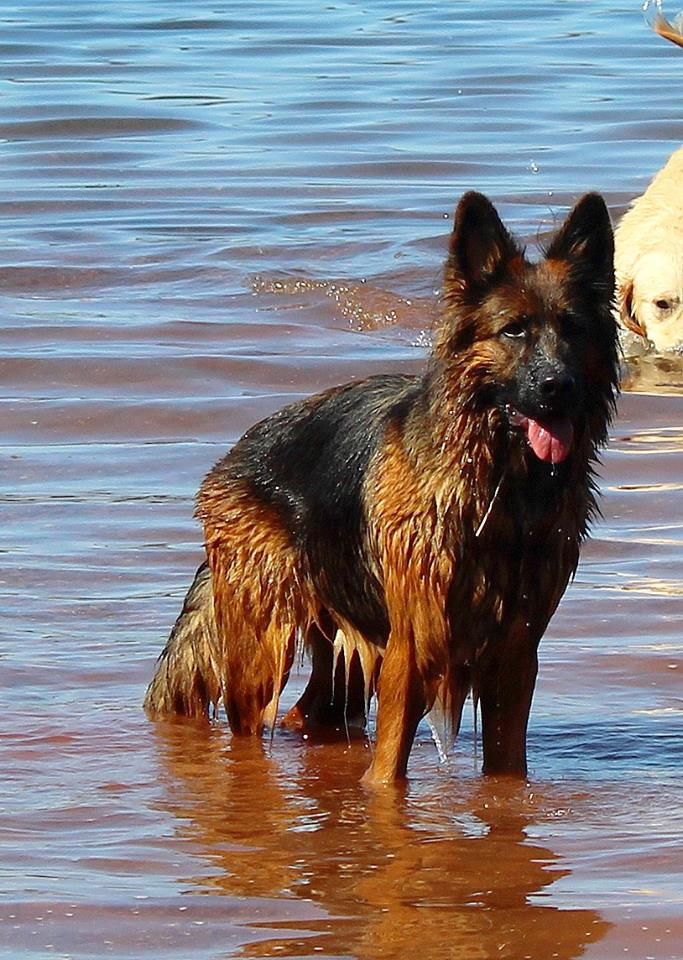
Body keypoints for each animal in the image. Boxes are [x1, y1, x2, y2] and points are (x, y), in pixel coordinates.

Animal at [144, 191, 620, 784]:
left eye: (573, 329)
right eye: (513, 330)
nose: (559, 387)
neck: (497, 490)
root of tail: (233, 454)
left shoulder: (515, 656)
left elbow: (508, 771)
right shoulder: (411, 649)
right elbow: (388, 770)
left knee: (311, 713)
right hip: (262, 651)